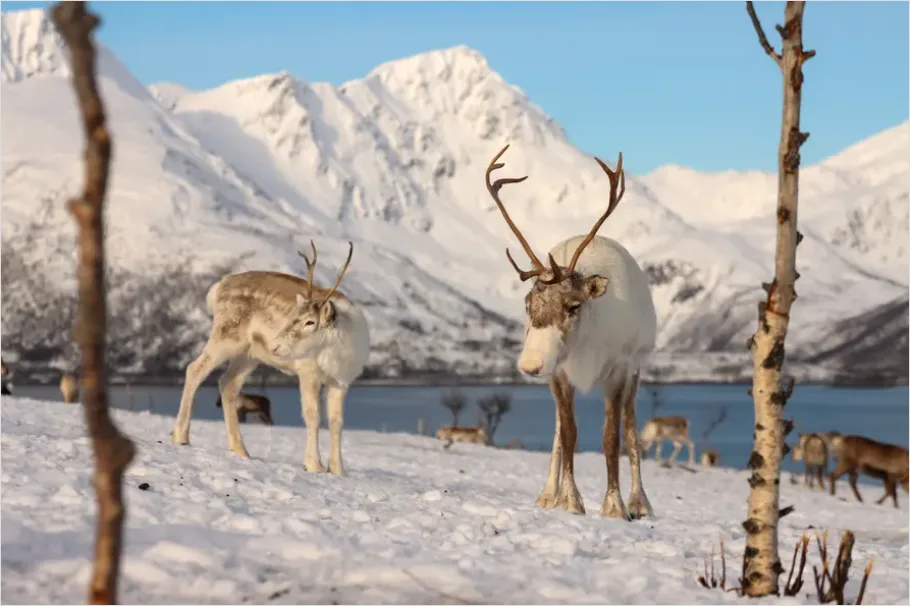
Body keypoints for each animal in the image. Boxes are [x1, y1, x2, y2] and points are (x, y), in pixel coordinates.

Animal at [171, 240, 371, 476]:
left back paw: (240, 449)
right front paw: (314, 465)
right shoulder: (308, 371)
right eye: (295, 317)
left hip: (249, 355)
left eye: (310, 322)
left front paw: (339, 470)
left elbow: (336, 422)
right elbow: (312, 415)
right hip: (226, 336)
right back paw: (180, 436)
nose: (275, 345)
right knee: (195, 369)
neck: (340, 352)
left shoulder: (341, 381)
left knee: (227, 384)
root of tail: (217, 288)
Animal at [483, 144, 655, 520]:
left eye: (573, 305)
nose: (529, 364)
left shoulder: (619, 371)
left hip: (637, 368)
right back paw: (549, 494)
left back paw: (641, 502)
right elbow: (570, 433)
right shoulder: (560, 374)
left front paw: (615, 505)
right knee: (559, 431)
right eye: (529, 304)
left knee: (632, 424)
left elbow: (612, 437)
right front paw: (570, 501)